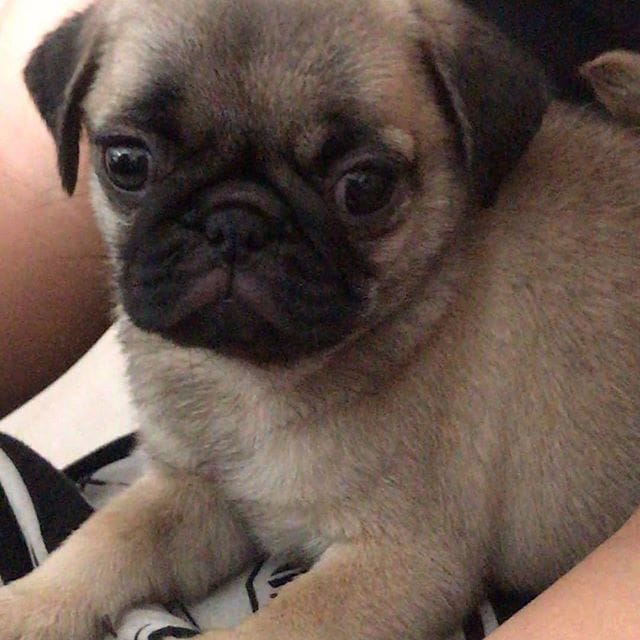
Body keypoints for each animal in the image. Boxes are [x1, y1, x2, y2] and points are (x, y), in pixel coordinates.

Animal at [2, 0, 639, 639]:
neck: (247, 381)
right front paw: (25, 606)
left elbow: (273, 625)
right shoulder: (195, 492)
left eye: (364, 187)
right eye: (127, 163)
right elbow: (104, 543)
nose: (235, 222)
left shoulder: (397, 562)